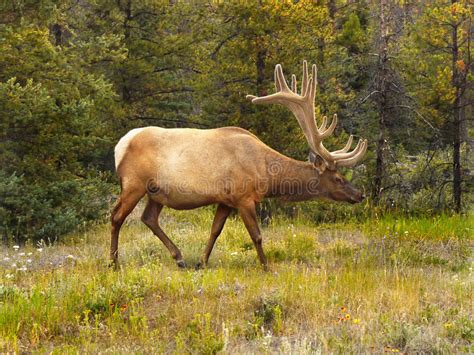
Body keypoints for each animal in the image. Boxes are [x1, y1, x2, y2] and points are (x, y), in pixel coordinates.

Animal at [111, 61, 366, 272]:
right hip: (134, 183)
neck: (266, 173)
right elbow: (257, 235)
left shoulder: (226, 200)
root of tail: (119, 145)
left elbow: (215, 230)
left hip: (156, 192)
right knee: (116, 216)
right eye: (338, 178)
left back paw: (179, 258)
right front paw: (266, 267)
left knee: (148, 218)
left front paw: (201, 262)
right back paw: (113, 262)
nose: (360, 195)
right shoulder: (244, 197)